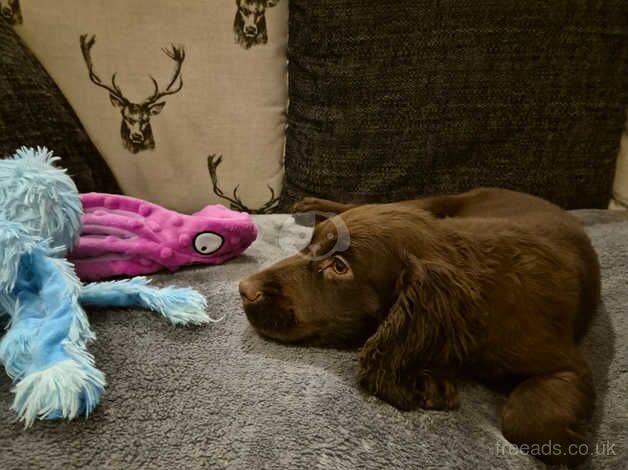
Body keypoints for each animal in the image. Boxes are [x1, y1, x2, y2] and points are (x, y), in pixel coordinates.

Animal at [239, 188, 600, 466]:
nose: (244, 289)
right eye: (309, 246)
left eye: (339, 267)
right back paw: (310, 205)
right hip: (433, 203)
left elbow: (527, 420)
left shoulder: (566, 361)